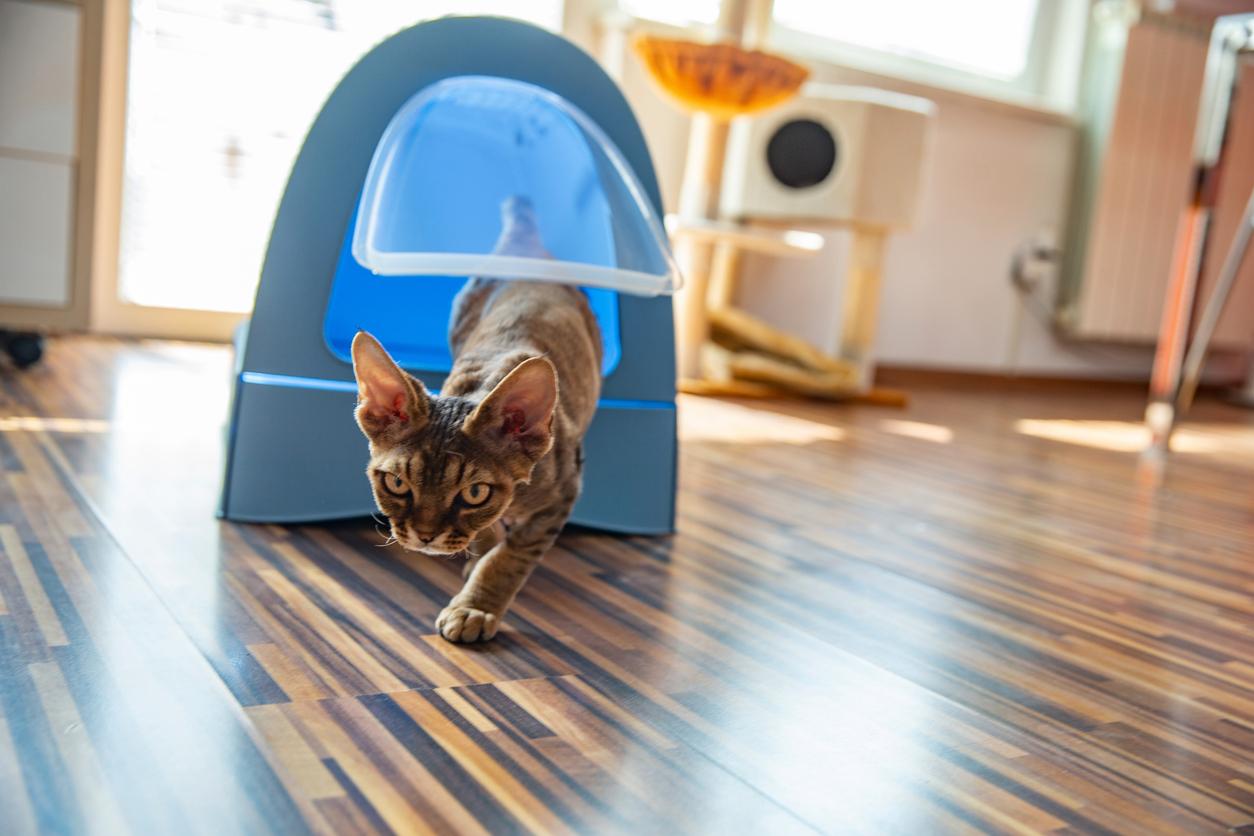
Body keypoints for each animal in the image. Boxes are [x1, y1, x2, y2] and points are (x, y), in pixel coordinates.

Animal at [351, 196, 604, 641]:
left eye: (474, 493)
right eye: (396, 483)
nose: (426, 536)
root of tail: (523, 243)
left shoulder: (563, 494)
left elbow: (510, 558)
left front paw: (476, 607)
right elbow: (489, 537)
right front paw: (478, 554)